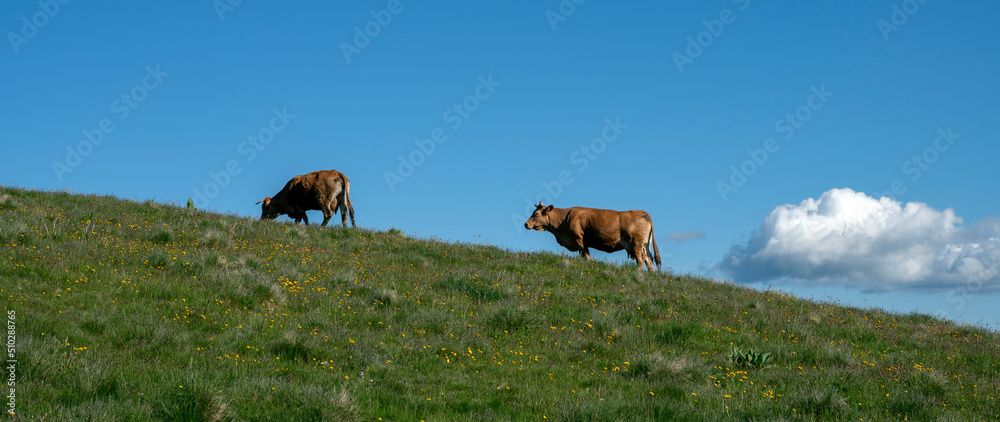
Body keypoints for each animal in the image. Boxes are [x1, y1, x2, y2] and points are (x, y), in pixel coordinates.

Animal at [524, 204, 664, 270]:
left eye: (536, 214)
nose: (526, 224)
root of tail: (642, 212)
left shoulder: (579, 240)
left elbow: (586, 256)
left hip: (636, 244)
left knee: (641, 260)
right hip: (645, 245)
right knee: (649, 261)